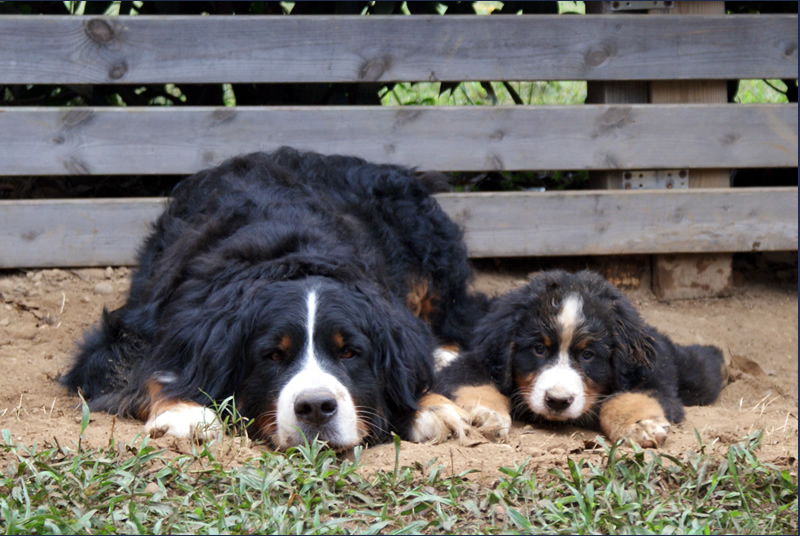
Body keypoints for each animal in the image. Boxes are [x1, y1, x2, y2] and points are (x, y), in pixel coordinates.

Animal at [61, 147, 488, 448]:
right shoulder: (125, 337)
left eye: (350, 353)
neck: (290, 256)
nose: (316, 408)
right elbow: (149, 369)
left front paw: (432, 404)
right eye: (272, 356)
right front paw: (184, 411)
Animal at [434, 270, 728, 446]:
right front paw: (485, 416)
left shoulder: (652, 376)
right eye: (539, 349)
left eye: (588, 355)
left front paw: (640, 425)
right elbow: (476, 385)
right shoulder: (476, 361)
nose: (557, 401)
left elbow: (628, 398)